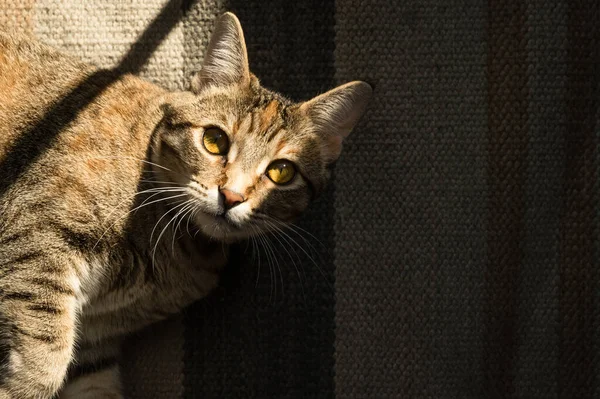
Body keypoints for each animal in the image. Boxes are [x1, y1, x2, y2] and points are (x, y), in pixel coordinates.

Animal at [0, 10, 370, 398]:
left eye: (282, 172)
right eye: (214, 140)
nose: (231, 196)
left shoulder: (97, 336)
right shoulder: (39, 234)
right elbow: (44, 358)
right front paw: (20, 387)